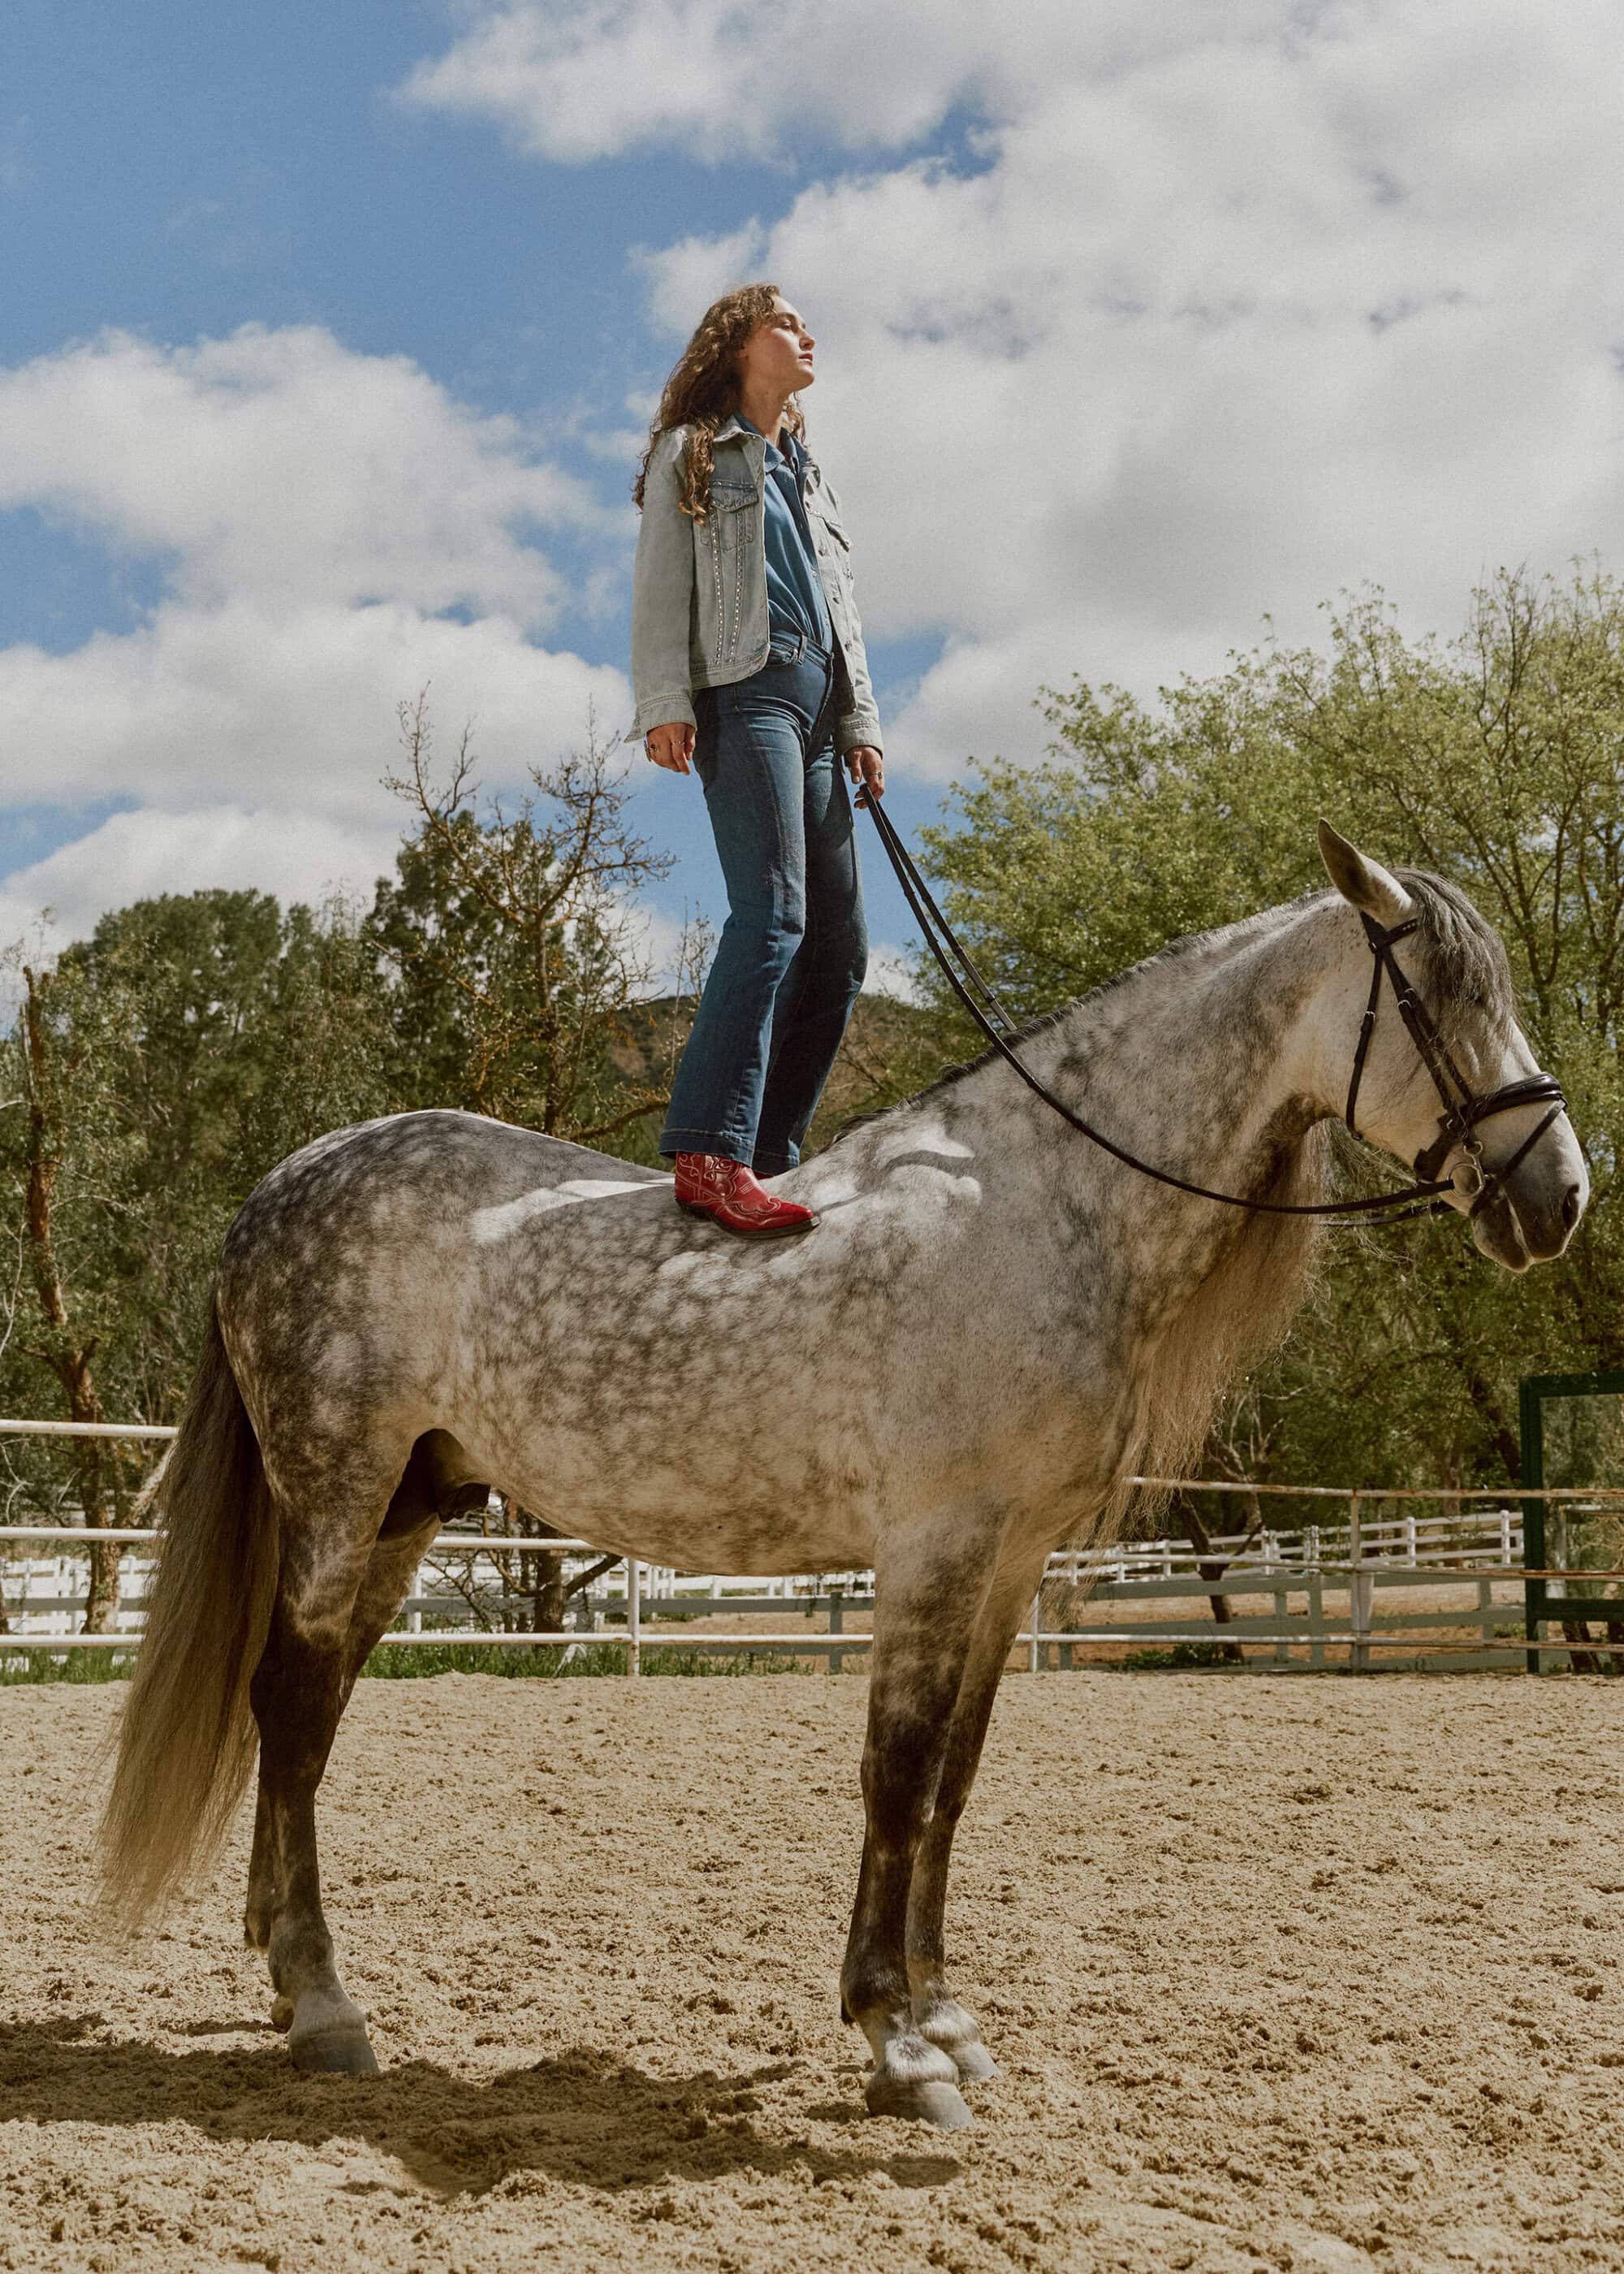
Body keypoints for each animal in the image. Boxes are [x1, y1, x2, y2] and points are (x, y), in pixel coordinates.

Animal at [100, 825, 1586, 2130]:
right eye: (1438, 997)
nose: (1560, 1197)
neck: (1038, 1201)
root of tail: (287, 1180)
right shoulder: (934, 1547)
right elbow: (896, 1774)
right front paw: (893, 2040)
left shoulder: (1011, 1563)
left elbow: (955, 1784)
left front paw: (945, 2017)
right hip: (338, 1497)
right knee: (293, 1713)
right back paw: (322, 2004)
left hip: (409, 1511)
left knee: (311, 1718)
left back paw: (276, 1968)